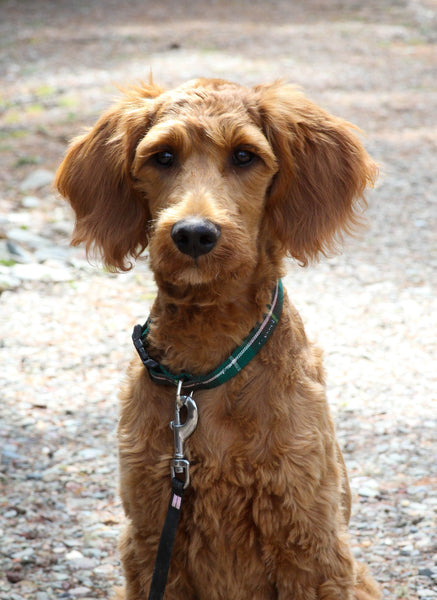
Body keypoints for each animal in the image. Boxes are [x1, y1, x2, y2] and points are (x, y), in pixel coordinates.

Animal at [57, 78, 378, 600]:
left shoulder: (310, 544)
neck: (205, 366)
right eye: (163, 156)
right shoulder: (150, 536)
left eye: (245, 156)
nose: (193, 234)